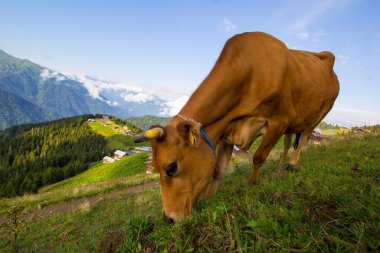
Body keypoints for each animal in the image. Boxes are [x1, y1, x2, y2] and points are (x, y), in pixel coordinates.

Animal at [135, 32, 340, 223]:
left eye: (171, 168)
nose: (168, 218)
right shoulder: (229, 129)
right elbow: (218, 170)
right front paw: (209, 199)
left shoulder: (279, 121)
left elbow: (258, 157)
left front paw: (252, 185)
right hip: (294, 122)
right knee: (288, 142)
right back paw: (281, 166)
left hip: (319, 115)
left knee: (304, 138)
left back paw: (292, 163)